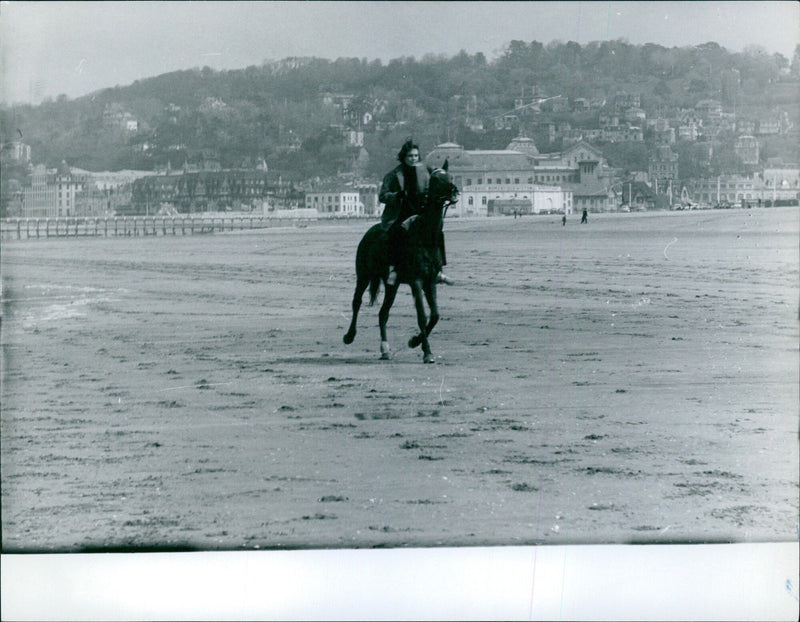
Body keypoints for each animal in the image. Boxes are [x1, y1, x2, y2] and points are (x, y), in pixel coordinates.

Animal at [340, 162, 460, 366]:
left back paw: (385, 350)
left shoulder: (430, 281)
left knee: (383, 313)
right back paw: (349, 336)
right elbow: (422, 315)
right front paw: (427, 352)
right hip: (363, 275)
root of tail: (370, 232)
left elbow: (435, 315)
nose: (454, 191)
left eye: (450, 176)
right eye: (436, 179)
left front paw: (414, 341)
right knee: (357, 302)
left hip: (392, 285)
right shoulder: (416, 281)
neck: (425, 236)